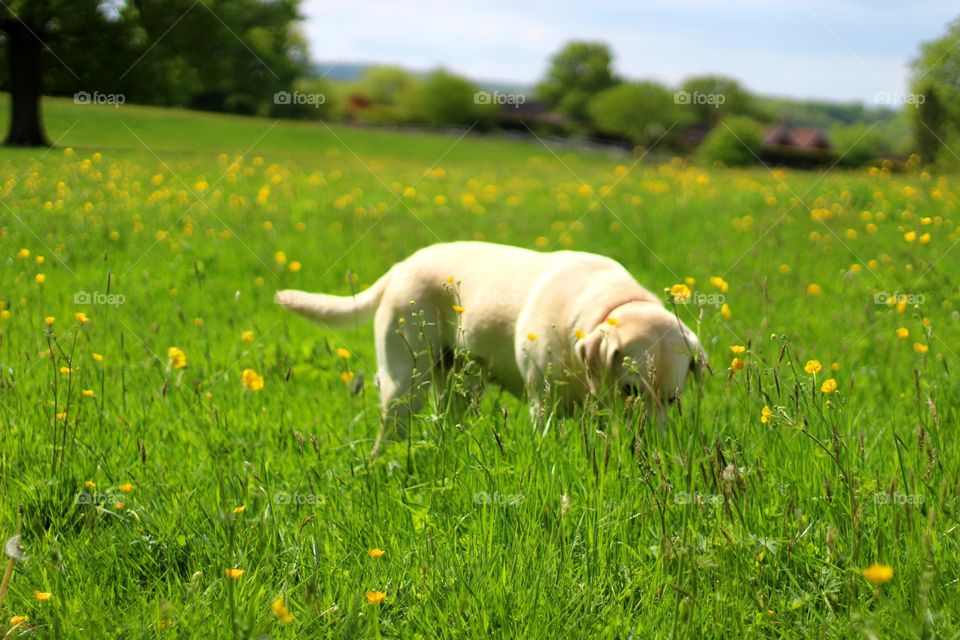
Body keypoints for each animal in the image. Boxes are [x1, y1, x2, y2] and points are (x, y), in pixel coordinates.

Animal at [278, 242, 704, 448]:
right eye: (631, 391)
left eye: (673, 400)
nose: (647, 447)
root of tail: (401, 266)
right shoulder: (542, 404)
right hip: (406, 385)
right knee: (391, 429)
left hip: (461, 386)